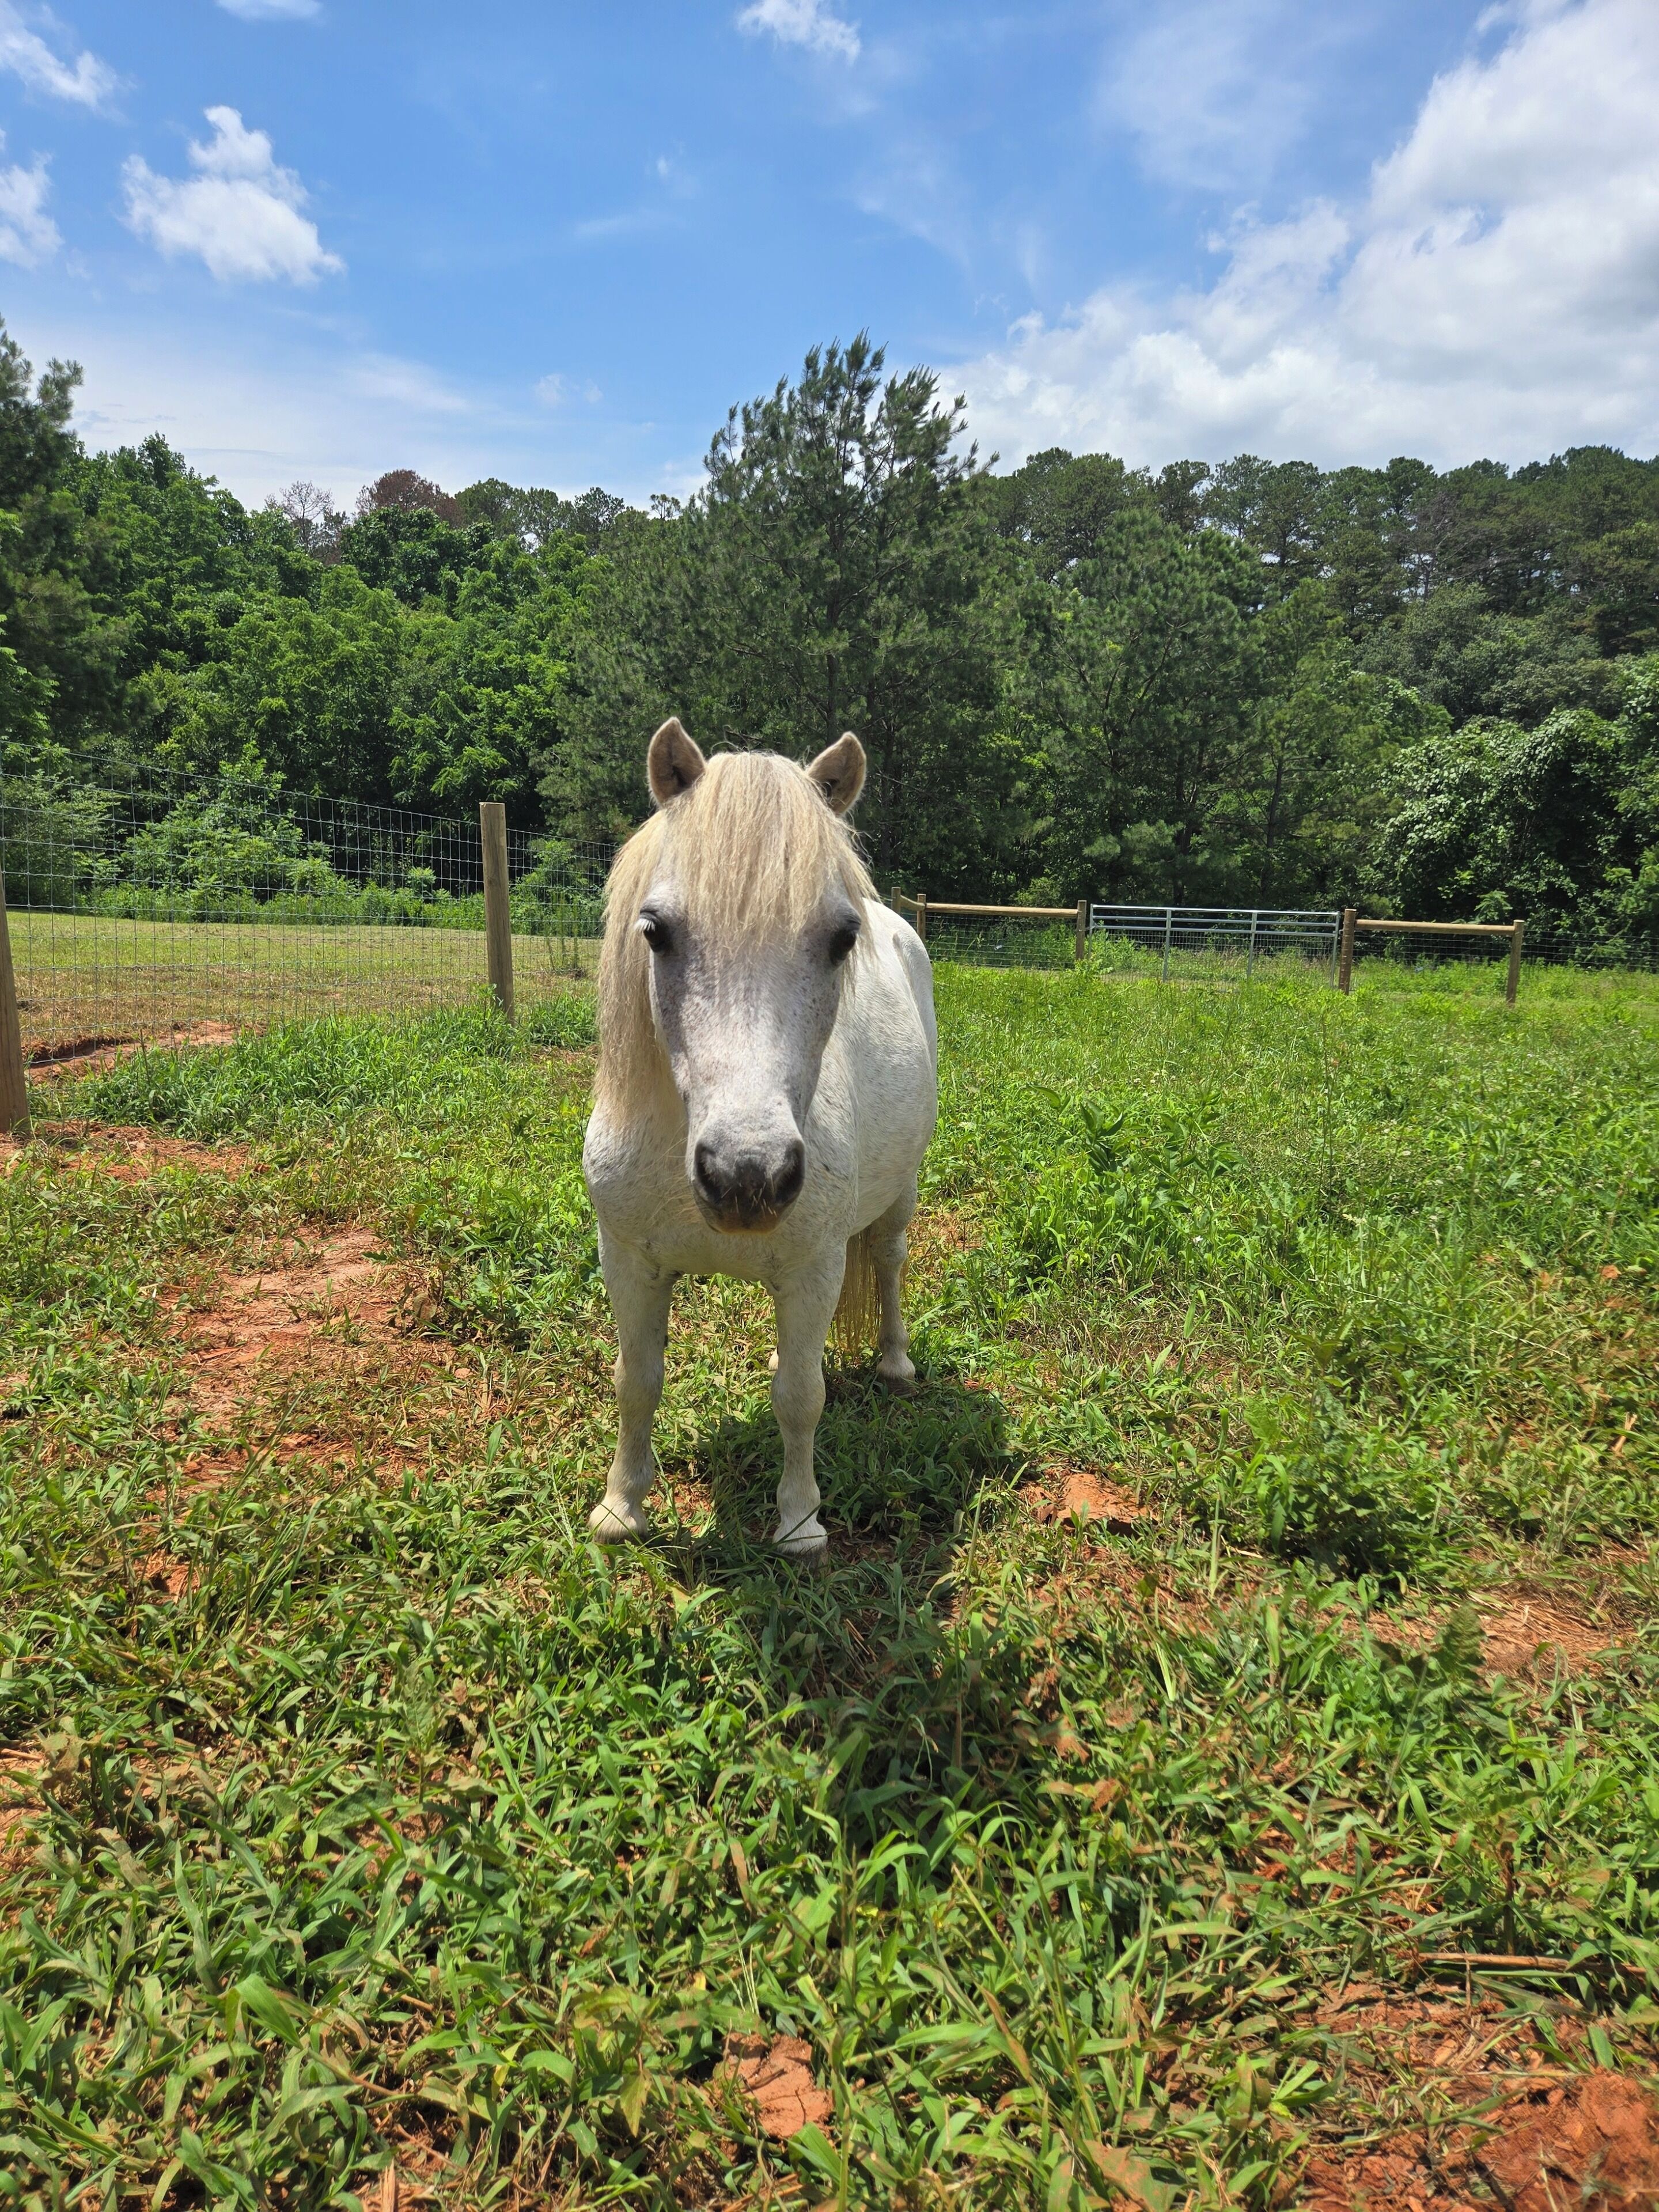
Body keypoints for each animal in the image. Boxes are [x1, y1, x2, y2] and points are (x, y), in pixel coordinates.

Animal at [582, 717, 938, 1560]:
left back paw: (896, 1361)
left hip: (898, 1200)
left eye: (841, 939)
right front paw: (621, 1508)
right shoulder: (629, 1260)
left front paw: (801, 1524)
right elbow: (636, 1380)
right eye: (656, 932)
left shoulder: (812, 1266)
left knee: (888, 1263)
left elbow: (801, 1398)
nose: (748, 1177)